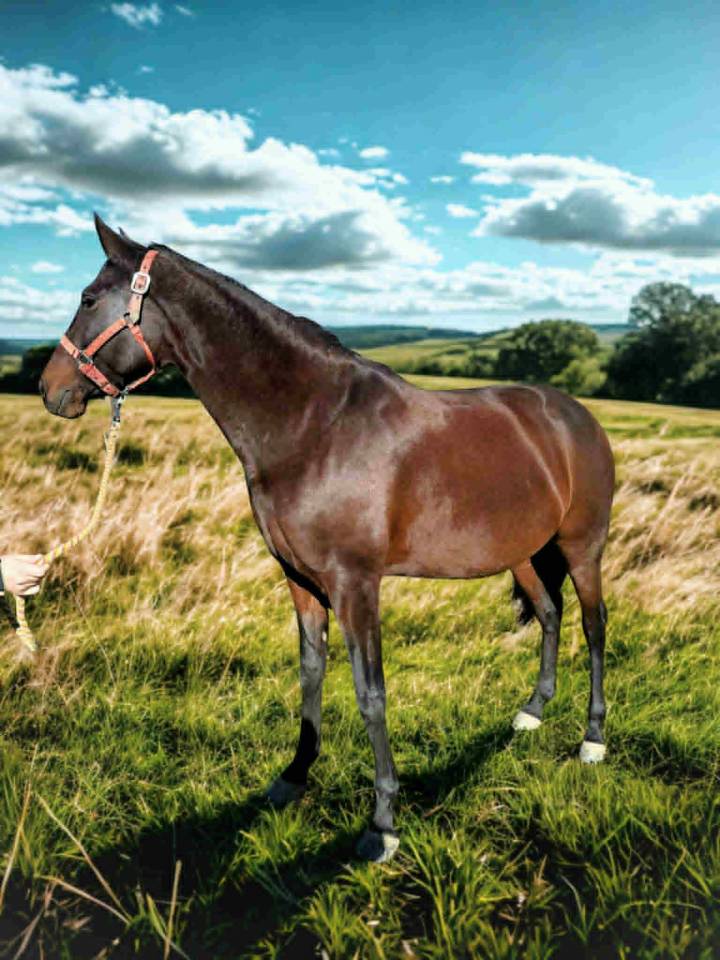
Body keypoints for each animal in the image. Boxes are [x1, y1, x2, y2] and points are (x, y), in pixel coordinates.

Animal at [39, 215, 615, 863]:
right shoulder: (300, 579)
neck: (314, 425)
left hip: (582, 547)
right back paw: (532, 711)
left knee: (593, 625)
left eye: (89, 299)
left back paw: (593, 739)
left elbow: (371, 692)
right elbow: (311, 672)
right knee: (549, 614)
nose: (49, 388)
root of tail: (575, 416)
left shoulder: (355, 584)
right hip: (522, 554)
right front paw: (294, 775)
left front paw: (383, 823)